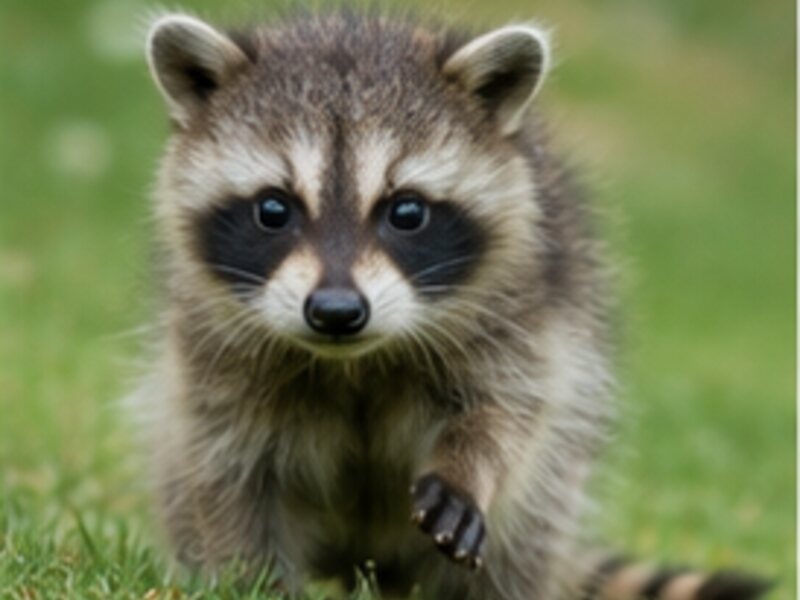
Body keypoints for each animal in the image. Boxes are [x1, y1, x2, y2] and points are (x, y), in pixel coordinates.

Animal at [136, 9, 769, 600]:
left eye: (407, 211)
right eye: (273, 209)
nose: (337, 311)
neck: (353, 361)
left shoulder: (526, 312)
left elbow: (509, 410)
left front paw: (469, 465)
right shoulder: (213, 358)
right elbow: (229, 476)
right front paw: (250, 578)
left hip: (548, 494)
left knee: (529, 526)